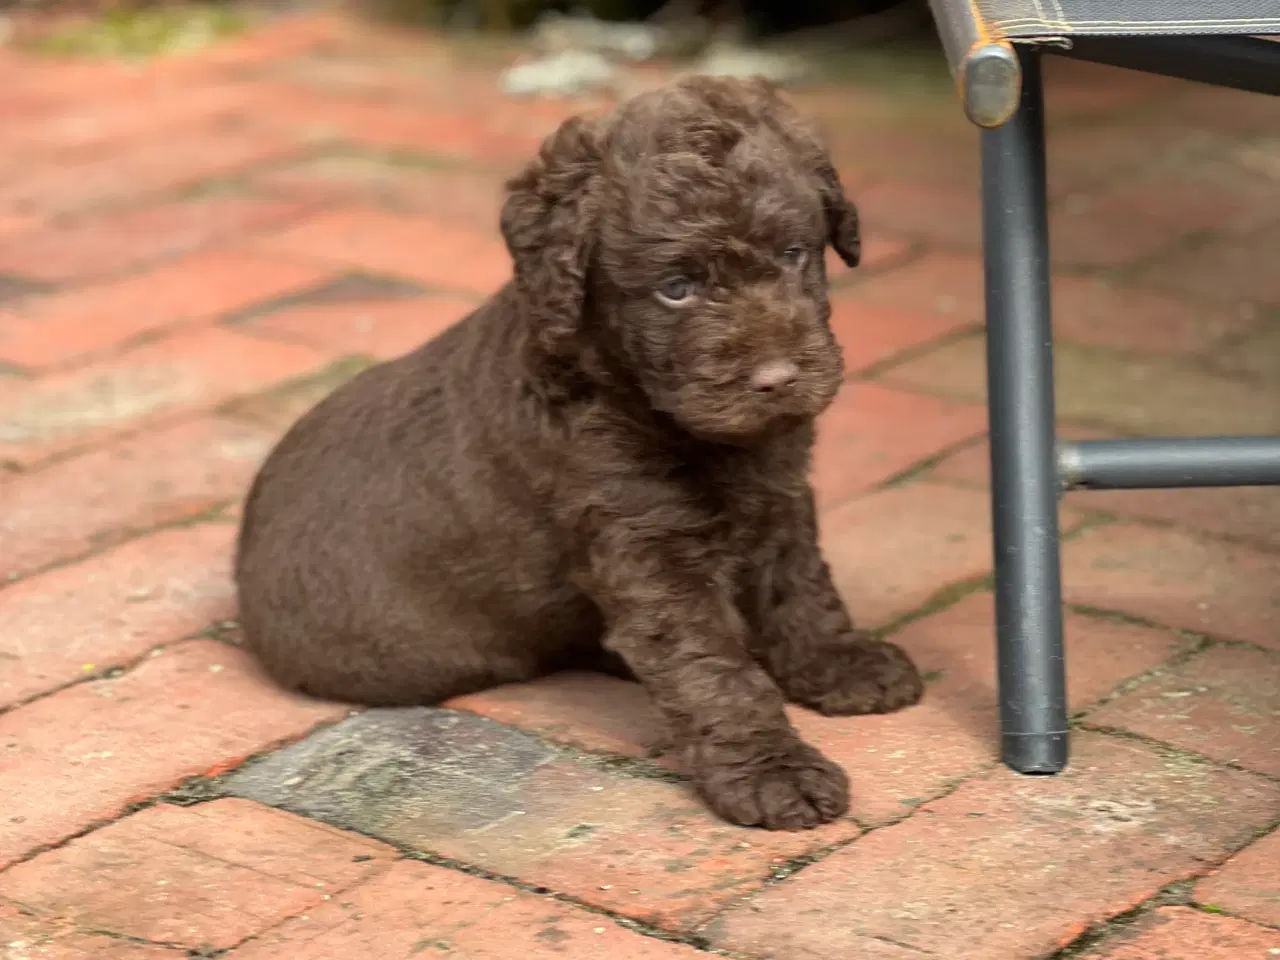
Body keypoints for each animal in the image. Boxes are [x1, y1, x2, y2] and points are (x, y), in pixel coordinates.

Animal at [235, 75, 926, 829]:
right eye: (675, 288)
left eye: (794, 253)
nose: (775, 379)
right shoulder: (642, 541)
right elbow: (711, 668)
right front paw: (774, 771)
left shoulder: (780, 493)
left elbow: (799, 585)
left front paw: (841, 662)